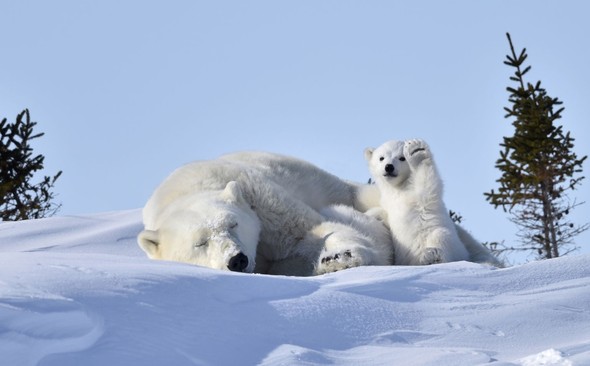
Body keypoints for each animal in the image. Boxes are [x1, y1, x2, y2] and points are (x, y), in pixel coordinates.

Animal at [136, 151, 390, 274]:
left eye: (233, 223)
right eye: (200, 243)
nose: (237, 260)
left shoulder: (259, 198)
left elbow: (310, 230)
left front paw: (341, 257)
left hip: (335, 186)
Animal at [368, 139, 502, 266]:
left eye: (401, 158)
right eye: (381, 157)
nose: (389, 167)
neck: (399, 188)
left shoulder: (419, 196)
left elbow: (426, 184)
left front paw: (417, 151)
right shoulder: (387, 202)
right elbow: (383, 213)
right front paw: (372, 215)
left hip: (452, 245)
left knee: (441, 237)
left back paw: (432, 256)